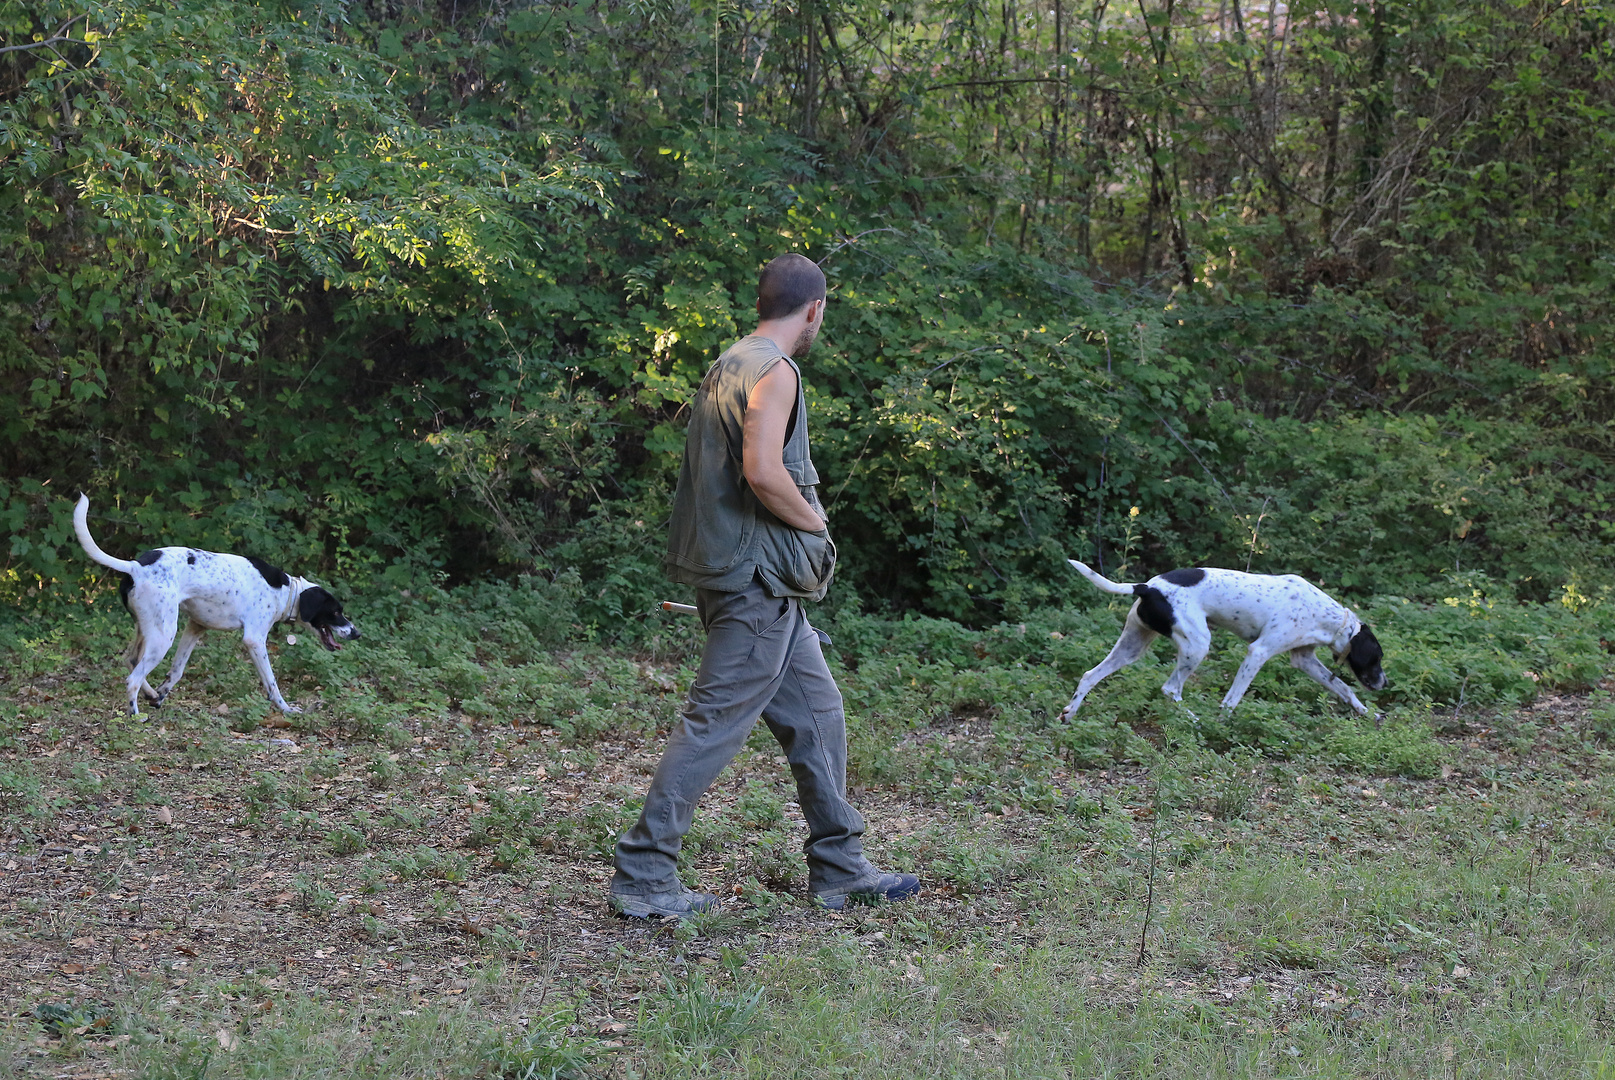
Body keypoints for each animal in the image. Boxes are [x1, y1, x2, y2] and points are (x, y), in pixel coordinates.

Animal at [72, 493, 360, 716]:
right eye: (336, 612)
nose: (357, 633)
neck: (286, 591)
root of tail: (135, 566)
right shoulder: (254, 640)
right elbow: (272, 682)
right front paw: (286, 709)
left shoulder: (195, 628)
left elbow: (176, 671)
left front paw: (161, 694)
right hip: (163, 635)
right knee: (132, 678)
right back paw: (135, 715)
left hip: (149, 631)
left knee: (131, 661)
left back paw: (151, 694)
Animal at [1059, 561, 1388, 720]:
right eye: (1377, 658)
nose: (1385, 683)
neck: (1327, 617)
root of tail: (1147, 587)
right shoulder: (1258, 652)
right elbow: (1232, 700)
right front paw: (1223, 724)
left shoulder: (1304, 659)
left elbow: (1344, 688)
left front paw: (1367, 713)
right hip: (1197, 645)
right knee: (1171, 689)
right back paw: (1196, 721)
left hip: (1132, 647)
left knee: (1089, 675)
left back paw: (1069, 714)